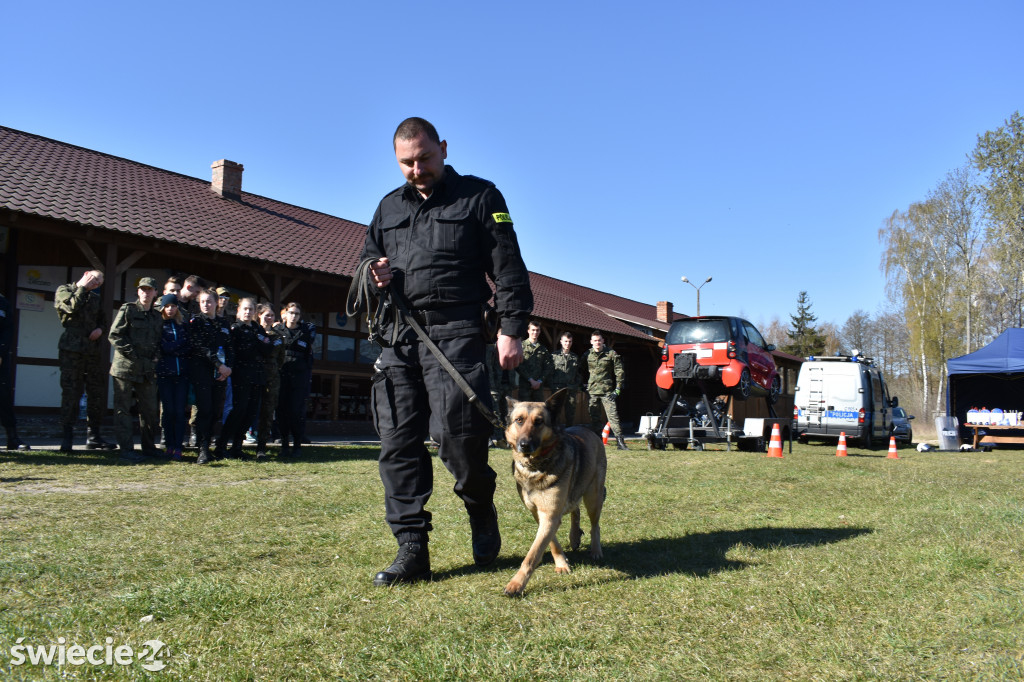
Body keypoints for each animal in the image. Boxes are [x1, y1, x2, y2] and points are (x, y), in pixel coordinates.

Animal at [503, 387, 606, 593]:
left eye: (539, 421)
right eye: (519, 420)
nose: (524, 445)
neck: (535, 466)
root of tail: (588, 429)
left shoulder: (549, 515)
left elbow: (532, 555)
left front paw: (516, 584)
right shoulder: (539, 513)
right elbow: (552, 542)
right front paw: (562, 563)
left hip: (593, 497)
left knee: (594, 525)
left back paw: (596, 550)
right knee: (575, 509)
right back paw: (574, 537)